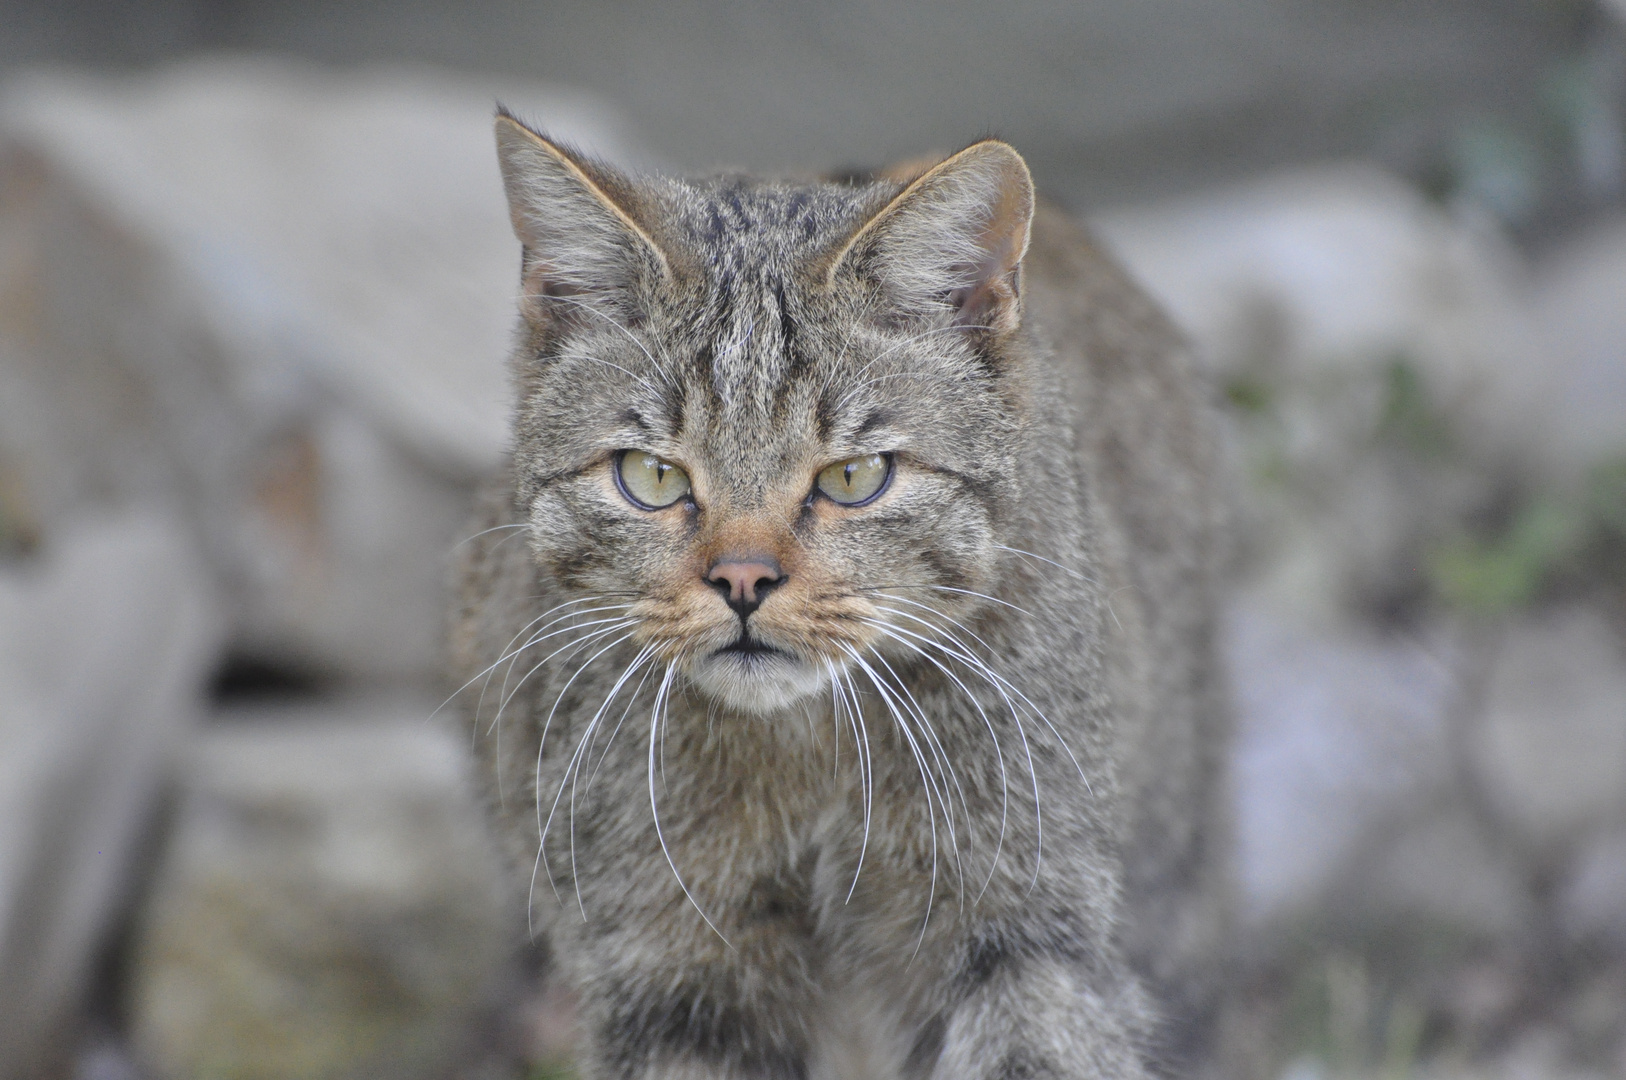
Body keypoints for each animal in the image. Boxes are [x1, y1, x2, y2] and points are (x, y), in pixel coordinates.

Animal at [448, 111, 1229, 1080]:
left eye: (853, 477)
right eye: (652, 477)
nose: (743, 579)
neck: (811, 752)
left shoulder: (1028, 928)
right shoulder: (668, 958)